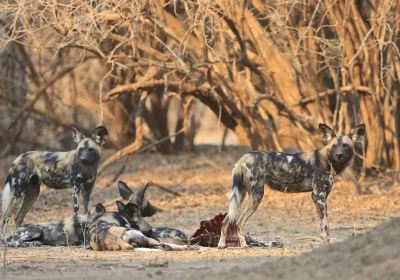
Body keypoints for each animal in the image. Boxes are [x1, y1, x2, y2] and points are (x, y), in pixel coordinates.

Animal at [217, 123, 364, 248]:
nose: (339, 155)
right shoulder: (318, 196)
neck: (328, 160)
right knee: (239, 222)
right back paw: (244, 246)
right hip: (256, 196)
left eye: (345, 145)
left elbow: (323, 225)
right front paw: (327, 243)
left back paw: (221, 245)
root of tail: (244, 157)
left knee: (226, 220)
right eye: (334, 146)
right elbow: (325, 226)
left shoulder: (322, 197)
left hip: (240, 195)